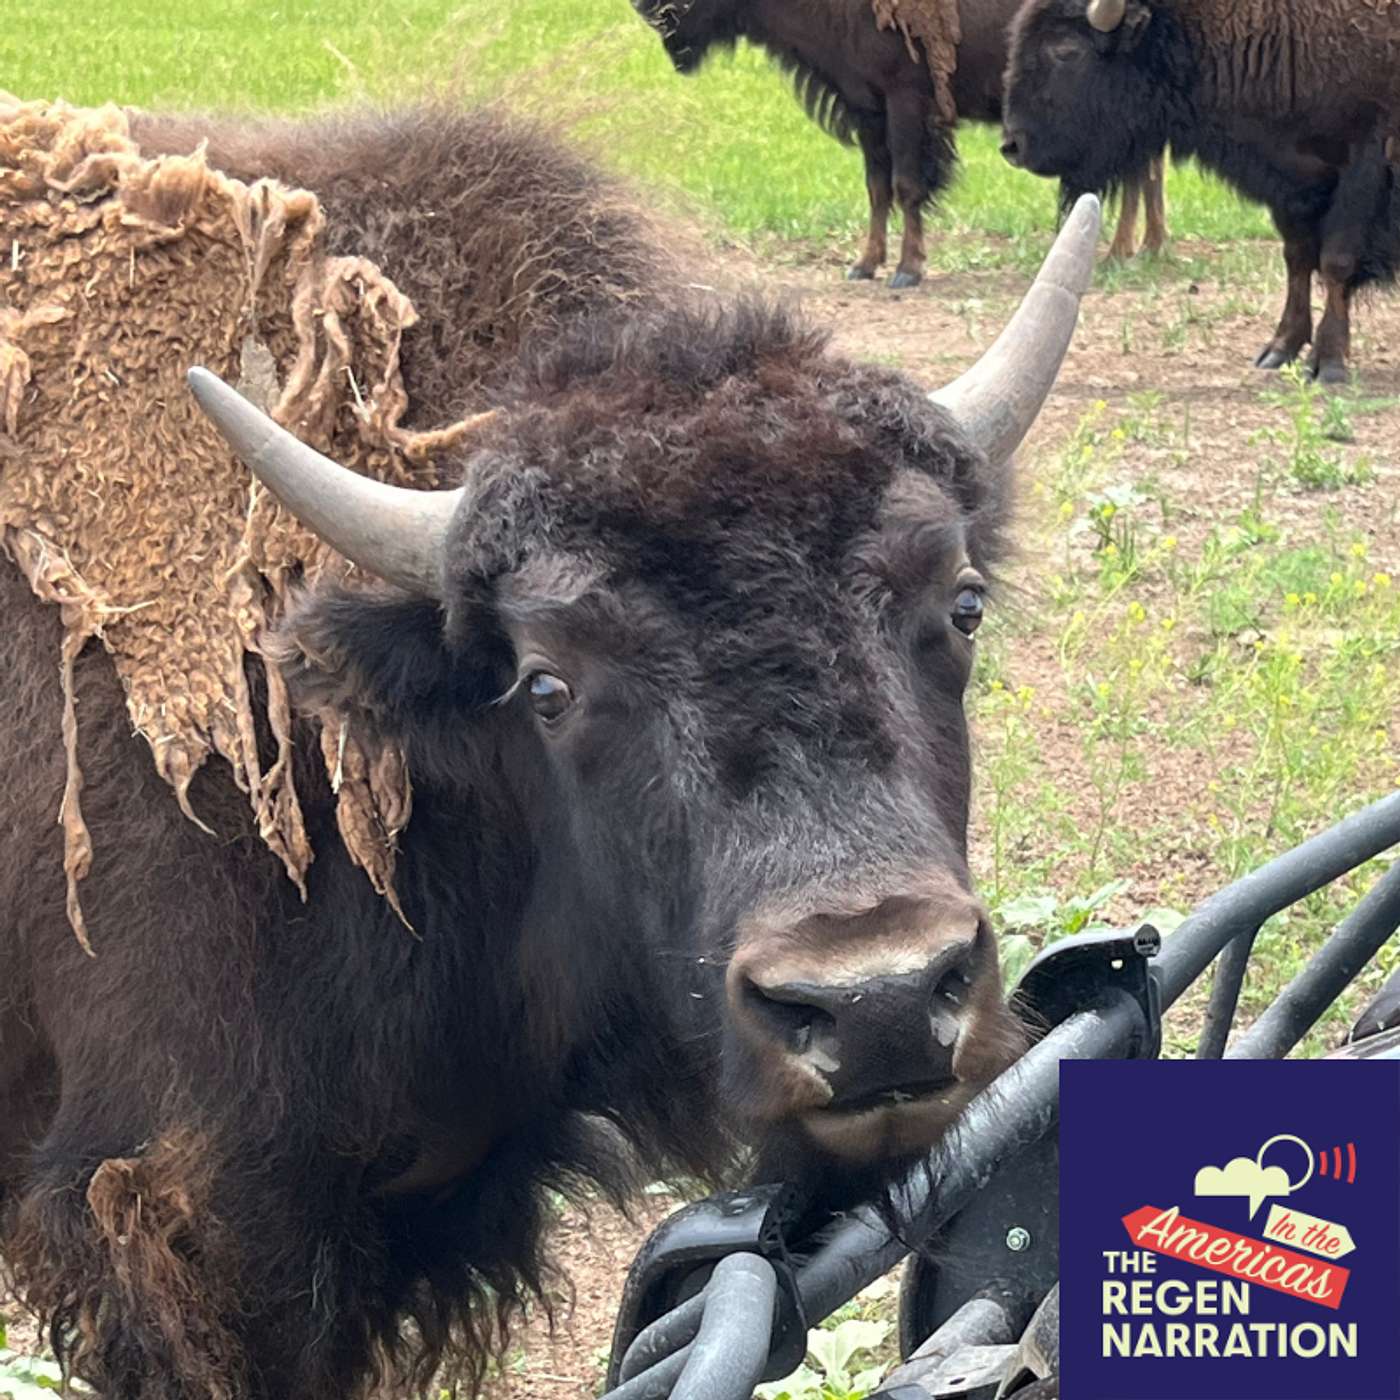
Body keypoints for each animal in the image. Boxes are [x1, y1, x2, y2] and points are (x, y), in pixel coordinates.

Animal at [632, 0, 1163, 285]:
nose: (651, 12)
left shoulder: (907, 102)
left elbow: (908, 186)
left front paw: (908, 270)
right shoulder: (868, 109)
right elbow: (877, 189)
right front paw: (864, 264)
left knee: (1139, 170)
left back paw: (1122, 252)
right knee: (1146, 170)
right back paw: (1145, 247)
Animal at [1001, 0, 1400, 381]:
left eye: (1066, 50)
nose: (1012, 146)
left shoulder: (1362, 168)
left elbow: (1336, 262)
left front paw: (1327, 362)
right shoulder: (1291, 187)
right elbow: (1297, 258)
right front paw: (1278, 350)